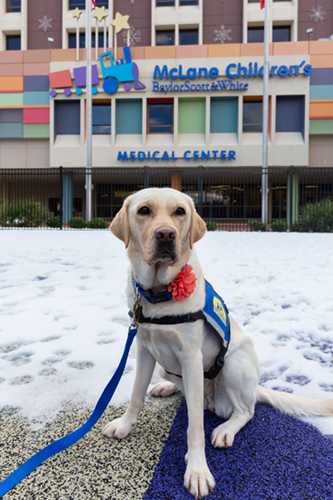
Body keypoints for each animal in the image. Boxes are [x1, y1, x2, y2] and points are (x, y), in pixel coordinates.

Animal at [103, 188, 332, 500]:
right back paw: (166, 387)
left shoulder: (191, 357)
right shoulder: (144, 349)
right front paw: (125, 426)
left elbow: (195, 427)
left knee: (245, 411)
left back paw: (226, 429)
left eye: (179, 212)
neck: (159, 294)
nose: (166, 234)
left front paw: (198, 470)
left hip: (235, 365)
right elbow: (136, 395)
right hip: (167, 367)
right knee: (186, 391)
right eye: (144, 211)